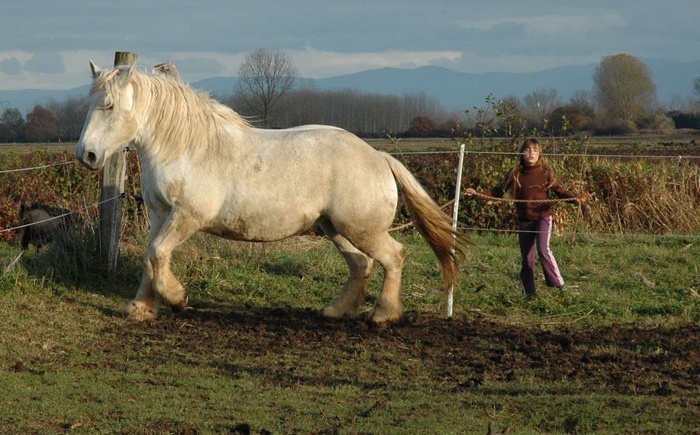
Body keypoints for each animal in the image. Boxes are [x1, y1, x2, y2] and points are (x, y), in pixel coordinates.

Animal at [76, 63, 470, 326]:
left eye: (109, 106)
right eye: (90, 104)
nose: (87, 156)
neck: (185, 147)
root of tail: (379, 157)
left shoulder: (187, 216)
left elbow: (158, 254)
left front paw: (176, 298)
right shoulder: (160, 215)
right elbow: (150, 257)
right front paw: (141, 309)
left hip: (362, 229)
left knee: (394, 256)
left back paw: (383, 315)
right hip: (335, 228)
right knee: (362, 264)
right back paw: (337, 311)